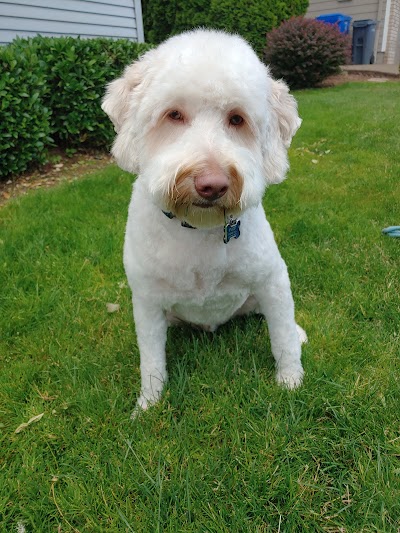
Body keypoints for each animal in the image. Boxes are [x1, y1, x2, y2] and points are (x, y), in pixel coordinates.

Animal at [102, 29, 306, 412]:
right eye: (174, 114)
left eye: (237, 119)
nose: (212, 184)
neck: (198, 227)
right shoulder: (147, 303)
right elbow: (151, 360)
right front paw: (148, 404)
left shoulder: (272, 280)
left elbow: (282, 337)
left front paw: (291, 382)